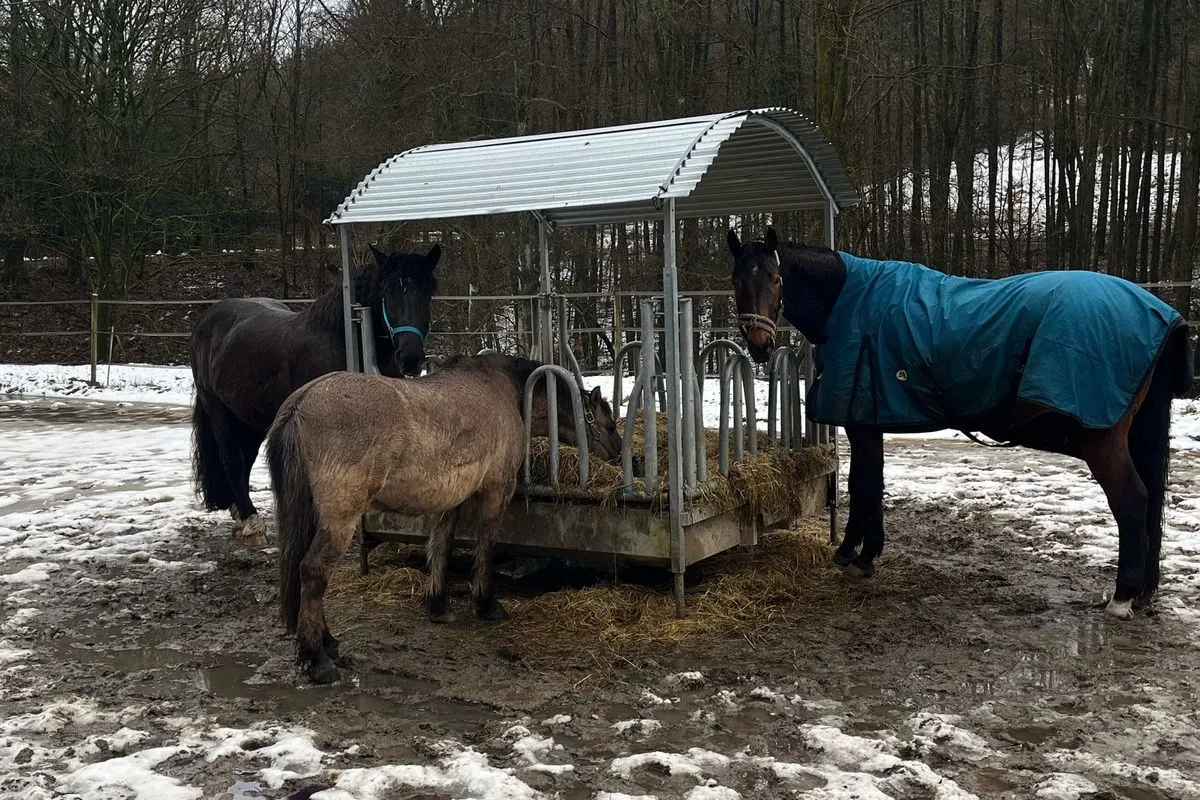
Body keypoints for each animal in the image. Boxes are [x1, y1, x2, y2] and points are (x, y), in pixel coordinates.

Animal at [190, 244, 440, 546]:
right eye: (388, 292)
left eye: (427, 292)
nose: (411, 358)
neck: (343, 338)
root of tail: (209, 318)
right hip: (217, 409)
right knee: (233, 460)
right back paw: (252, 524)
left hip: (249, 416)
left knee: (245, 458)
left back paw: (241, 515)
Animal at [266, 353, 623, 683]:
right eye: (608, 423)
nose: (623, 455)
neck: (506, 389)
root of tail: (300, 402)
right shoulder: (496, 491)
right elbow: (485, 546)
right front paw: (486, 604)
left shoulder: (453, 497)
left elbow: (442, 544)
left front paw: (437, 604)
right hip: (340, 517)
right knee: (313, 571)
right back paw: (316, 658)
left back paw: (329, 643)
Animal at [728, 227, 1193, 619]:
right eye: (736, 281)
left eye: (775, 279)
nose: (760, 345)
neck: (850, 300)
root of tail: (1161, 311)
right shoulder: (869, 423)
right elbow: (867, 483)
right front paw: (857, 552)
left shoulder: (862, 423)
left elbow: (864, 484)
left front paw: (857, 556)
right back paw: (1142, 592)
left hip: (1103, 442)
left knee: (1132, 502)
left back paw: (1122, 597)